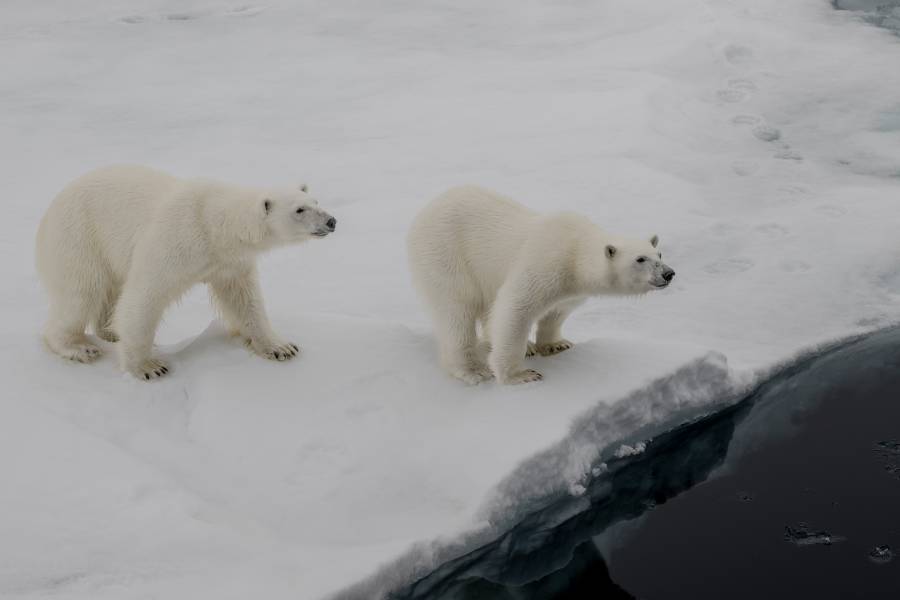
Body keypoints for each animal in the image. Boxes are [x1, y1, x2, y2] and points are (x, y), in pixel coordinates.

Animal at [33, 164, 338, 380]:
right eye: (299, 209)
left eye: (316, 200)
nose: (332, 221)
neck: (213, 223)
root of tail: (49, 212)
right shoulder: (175, 241)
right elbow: (144, 296)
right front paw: (148, 366)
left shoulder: (228, 262)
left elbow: (245, 301)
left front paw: (281, 347)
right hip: (78, 236)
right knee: (80, 293)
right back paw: (77, 347)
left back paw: (109, 332)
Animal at [408, 185, 676, 386]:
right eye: (640, 259)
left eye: (659, 254)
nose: (669, 273)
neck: (575, 250)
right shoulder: (545, 261)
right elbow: (516, 308)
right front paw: (519, 375)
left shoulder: (571, 287)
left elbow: (558, 310)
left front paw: (555, 345)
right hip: (446, 254)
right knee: (457, 312)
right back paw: (472, 369)